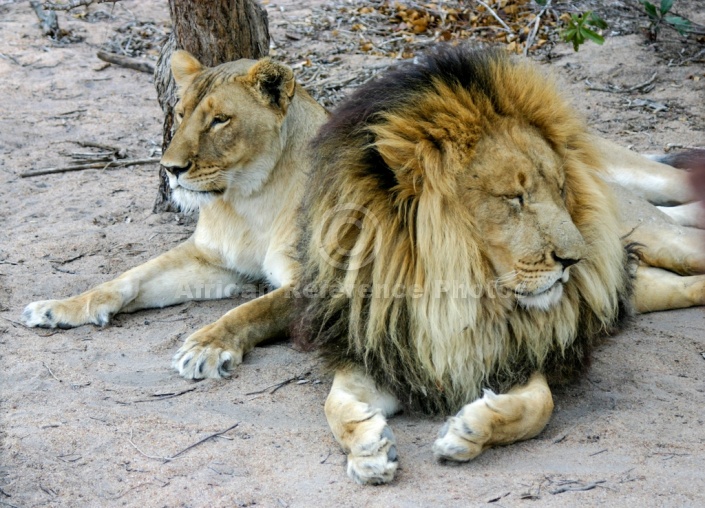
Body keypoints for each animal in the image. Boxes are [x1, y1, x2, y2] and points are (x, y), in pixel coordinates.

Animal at [22, 51, 328, 380]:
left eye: (220, 120)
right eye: (181, 114)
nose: (170, 168)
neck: (249, 200)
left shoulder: (321, 283)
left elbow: (253, 310)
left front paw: (207, 346)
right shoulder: (210, 258)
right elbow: (131, 276)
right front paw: (59, 307)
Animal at [296, 44, 704, 484]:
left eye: (560, 188)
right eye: (514, 197)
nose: (575, 259)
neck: (454, 300)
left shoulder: (523, 356)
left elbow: (538, 407)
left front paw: (467, 432)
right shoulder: (378, 355)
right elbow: (335, 406)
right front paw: (369, 450)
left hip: (661, 235)